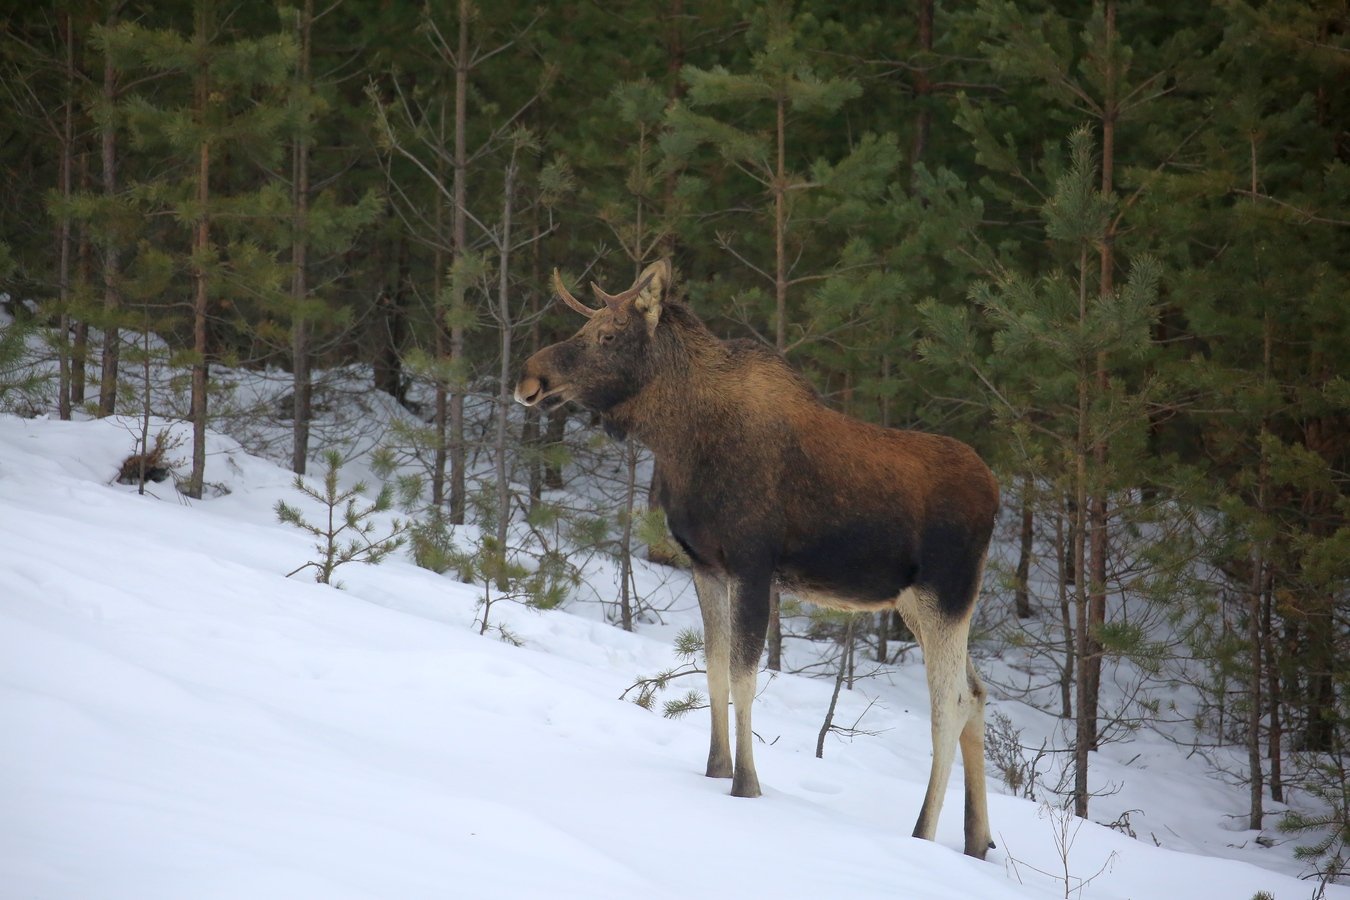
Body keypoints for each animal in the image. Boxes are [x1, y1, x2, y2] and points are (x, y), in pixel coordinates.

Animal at [510, 259, 999, 858]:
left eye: (607, 335)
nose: (529, 378)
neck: (679, 438)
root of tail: (996, 495)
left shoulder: (752, 564)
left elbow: (744, 675)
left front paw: (746, 784)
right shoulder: (705, 564)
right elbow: (715, 668)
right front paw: (715, 767)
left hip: (945, 594)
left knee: (949, 704)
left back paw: (923, 833)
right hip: (917, 604)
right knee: (977, 693)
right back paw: (976, 838)